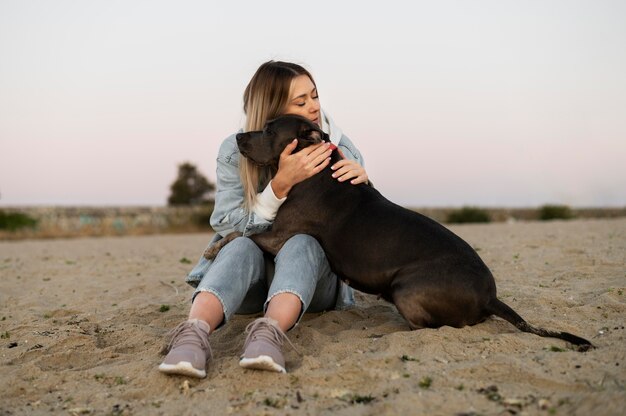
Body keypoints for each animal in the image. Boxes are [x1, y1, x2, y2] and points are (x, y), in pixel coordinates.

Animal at [205, 115, 588, 350]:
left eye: (270, 130)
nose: (238, 136)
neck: (313, 169)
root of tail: (490, 296)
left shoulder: (281, 233)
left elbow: (243, 235)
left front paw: (213, 249)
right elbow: (243, 233)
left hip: (407, 287)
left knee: (430, 329)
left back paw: (380, 334)